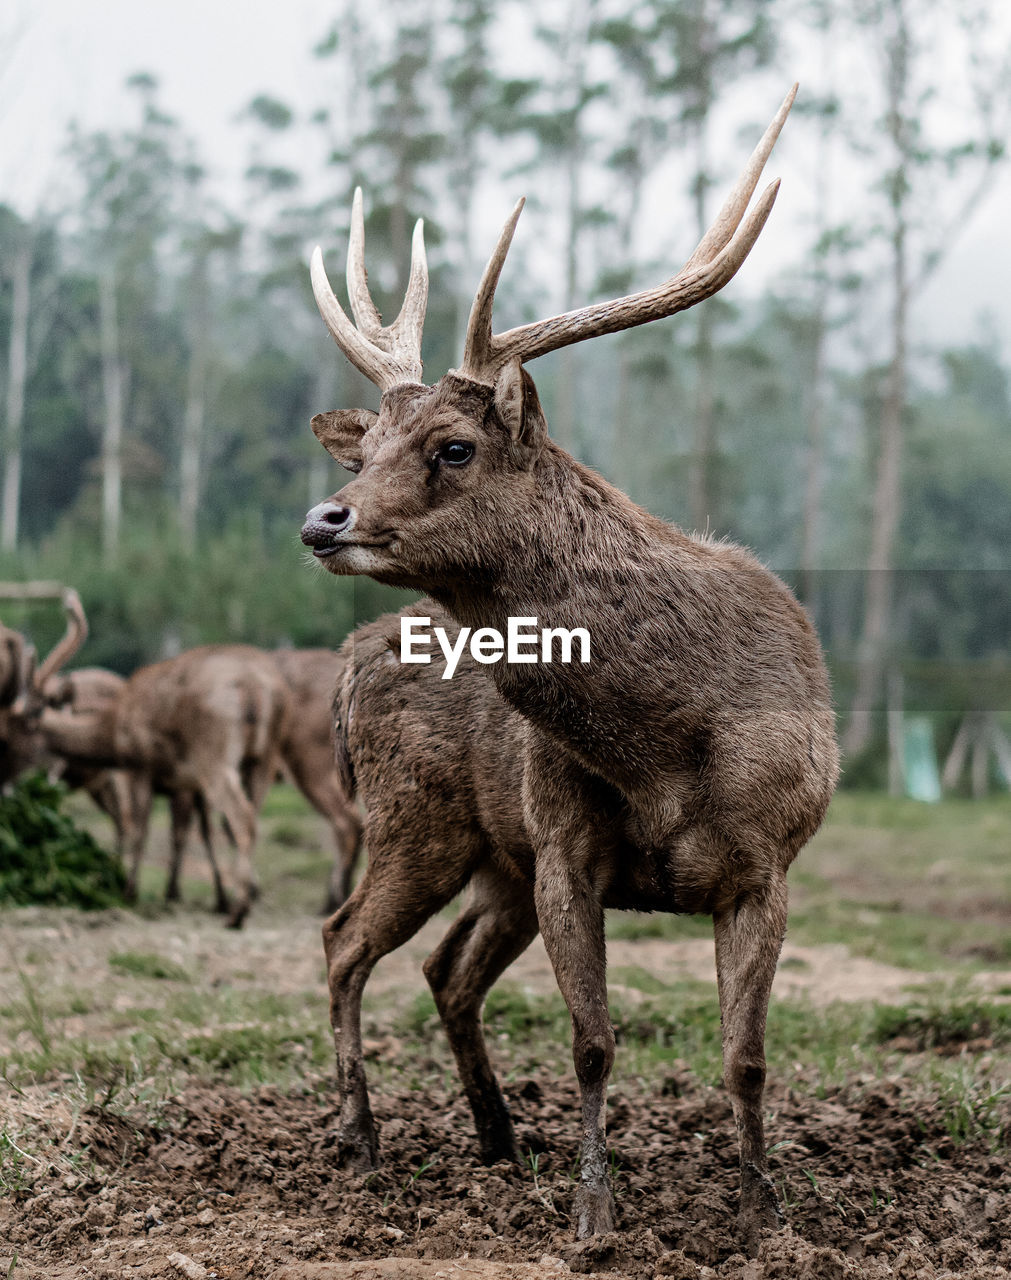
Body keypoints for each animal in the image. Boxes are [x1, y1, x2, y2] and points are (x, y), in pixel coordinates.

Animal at [299, 85, 839, 1254]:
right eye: (367, 453)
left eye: (453, 446)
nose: (325, 519)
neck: (670, 746)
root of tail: (351, 661)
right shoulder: (561, 844)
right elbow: (592, 1041)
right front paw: (595, 1212)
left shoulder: (768, 860)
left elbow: (746, 1054)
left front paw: (764, 1211)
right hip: (420, 816)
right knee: (342, 938)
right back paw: (360, 1141)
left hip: (484, 855)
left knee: (440, 966)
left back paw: (500, 1138)